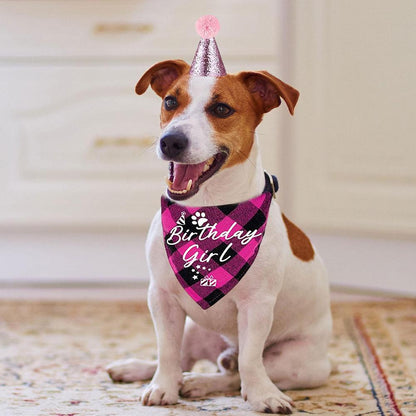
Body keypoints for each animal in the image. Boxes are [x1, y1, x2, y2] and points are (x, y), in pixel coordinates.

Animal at [106, 60, 332, 414]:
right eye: (170, 101)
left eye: (222, 109)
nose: (171, 141)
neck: (208, 211)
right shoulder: (162, 297)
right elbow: (166, 352)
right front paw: (161, 388)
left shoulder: (257, 306)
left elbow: (251, 361)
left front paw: (263, 396)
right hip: (192, 328)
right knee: (184, 359)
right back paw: (140, 370)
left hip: (296, 361)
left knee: (236, 372)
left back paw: (202, 382)